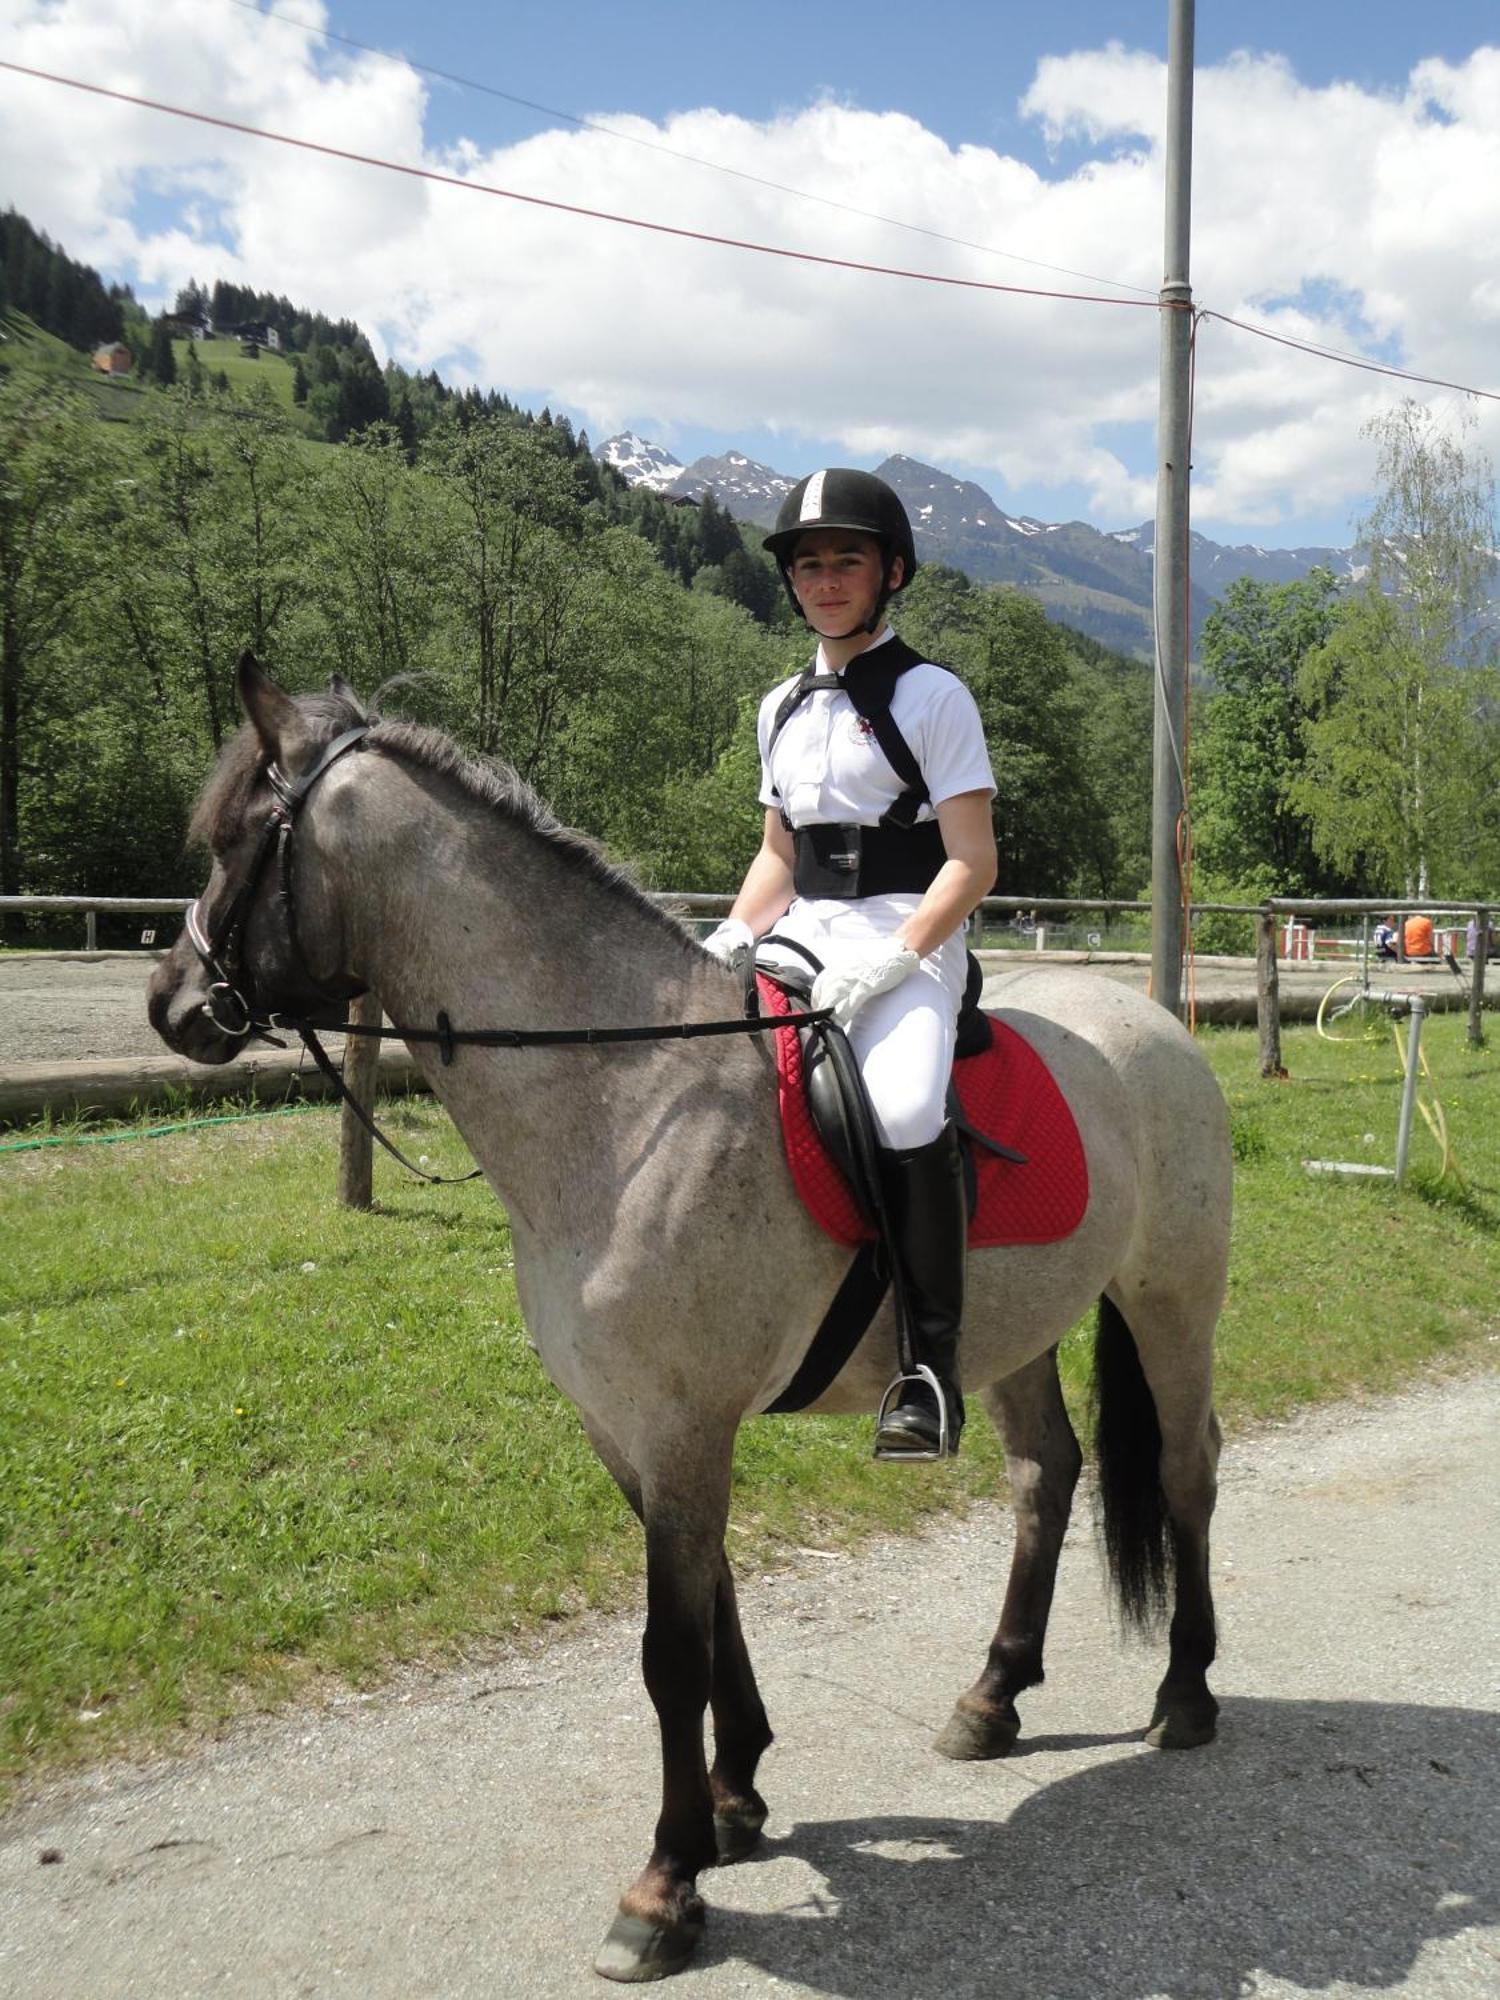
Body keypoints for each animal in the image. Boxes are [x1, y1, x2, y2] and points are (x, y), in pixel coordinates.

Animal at [150, 660, 1232, 1984]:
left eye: (235, 839)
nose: (171, 1003)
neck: (624, 1098)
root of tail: (1157, 1019)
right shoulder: (629, 1428)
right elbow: (713, 1601)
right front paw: (734, 1796)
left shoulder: (681, 1423)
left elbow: (670, 1647)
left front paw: (664, 1885)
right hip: (1009, 1329)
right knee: (1046, 1472)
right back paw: (992, 1695)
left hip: (1174, 1297)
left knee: (1183, 1469)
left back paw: (1186, 1692)